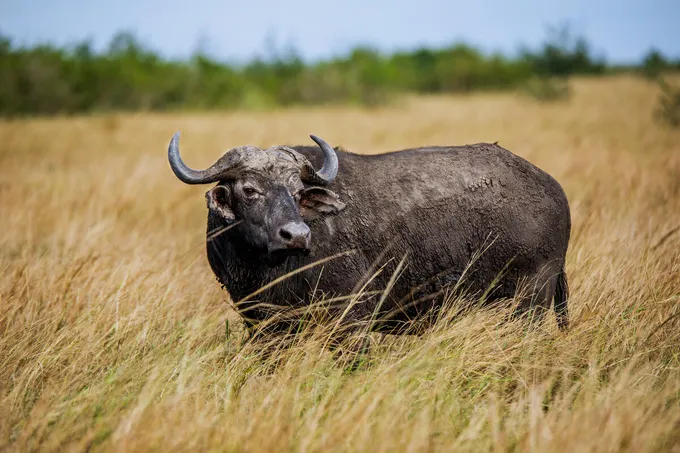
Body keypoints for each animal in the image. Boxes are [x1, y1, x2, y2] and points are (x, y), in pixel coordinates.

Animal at [168, 132, 571, 341]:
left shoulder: (352, 320)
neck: (269, 268)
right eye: (250, 190)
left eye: (298, 192)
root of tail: (553, 189)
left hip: (531, 297)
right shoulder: (262, 325)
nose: (296, 234)